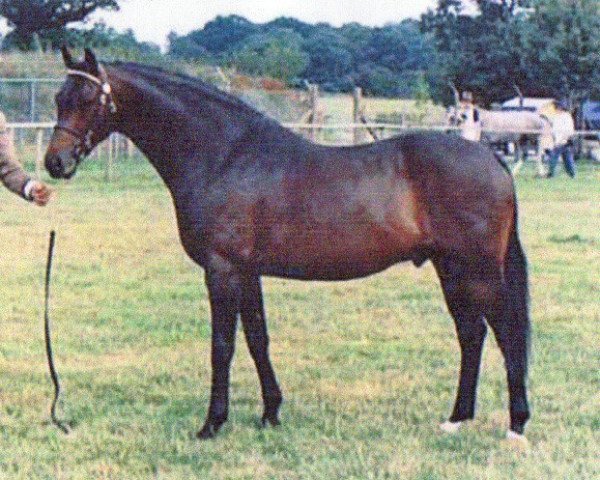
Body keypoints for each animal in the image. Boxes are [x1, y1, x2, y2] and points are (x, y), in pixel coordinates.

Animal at [44, 47, 532, 440]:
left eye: (87, 99)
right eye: (58, 98)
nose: (55, 163)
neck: (224, 155)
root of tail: (492, 158)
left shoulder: (221, 269)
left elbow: (222, 346)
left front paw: (212, 424)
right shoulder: (247, 271)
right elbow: (258, 339)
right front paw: (270, 413)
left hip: (478, 270)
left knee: (506, 332)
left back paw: (516, 425)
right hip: (450, 269)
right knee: (472, 334)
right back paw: (456, 419)